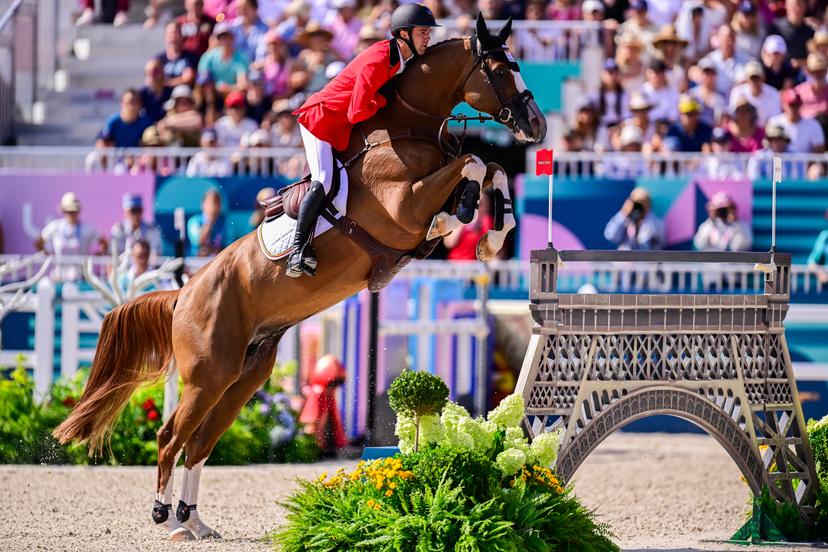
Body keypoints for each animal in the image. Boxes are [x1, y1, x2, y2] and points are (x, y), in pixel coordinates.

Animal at [54, 14, 546, 541]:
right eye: (501, 68)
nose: (536, 125)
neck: (410, 127)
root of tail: (184, 292)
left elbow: (488, 167)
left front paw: (491, 237)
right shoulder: (404, 207)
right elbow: (472, 164)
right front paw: (460, 219)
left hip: (242, 377)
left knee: (201, 441)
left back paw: (196, 520)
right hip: (207, 375)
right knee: (171, 437)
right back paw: (167, 517)